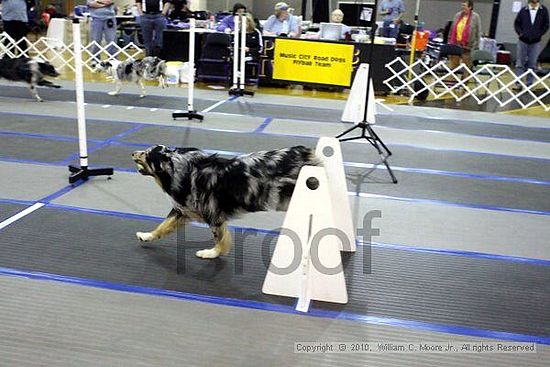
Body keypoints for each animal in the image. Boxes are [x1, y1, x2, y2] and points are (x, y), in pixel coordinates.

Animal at [132, 145, 322, 260]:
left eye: (146, 154)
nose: (132, 153)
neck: (179, 169)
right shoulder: (182, 212)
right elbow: (161, 227)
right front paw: (146, 236)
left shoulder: (213, 216)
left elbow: (221, 240)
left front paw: (211, 253)